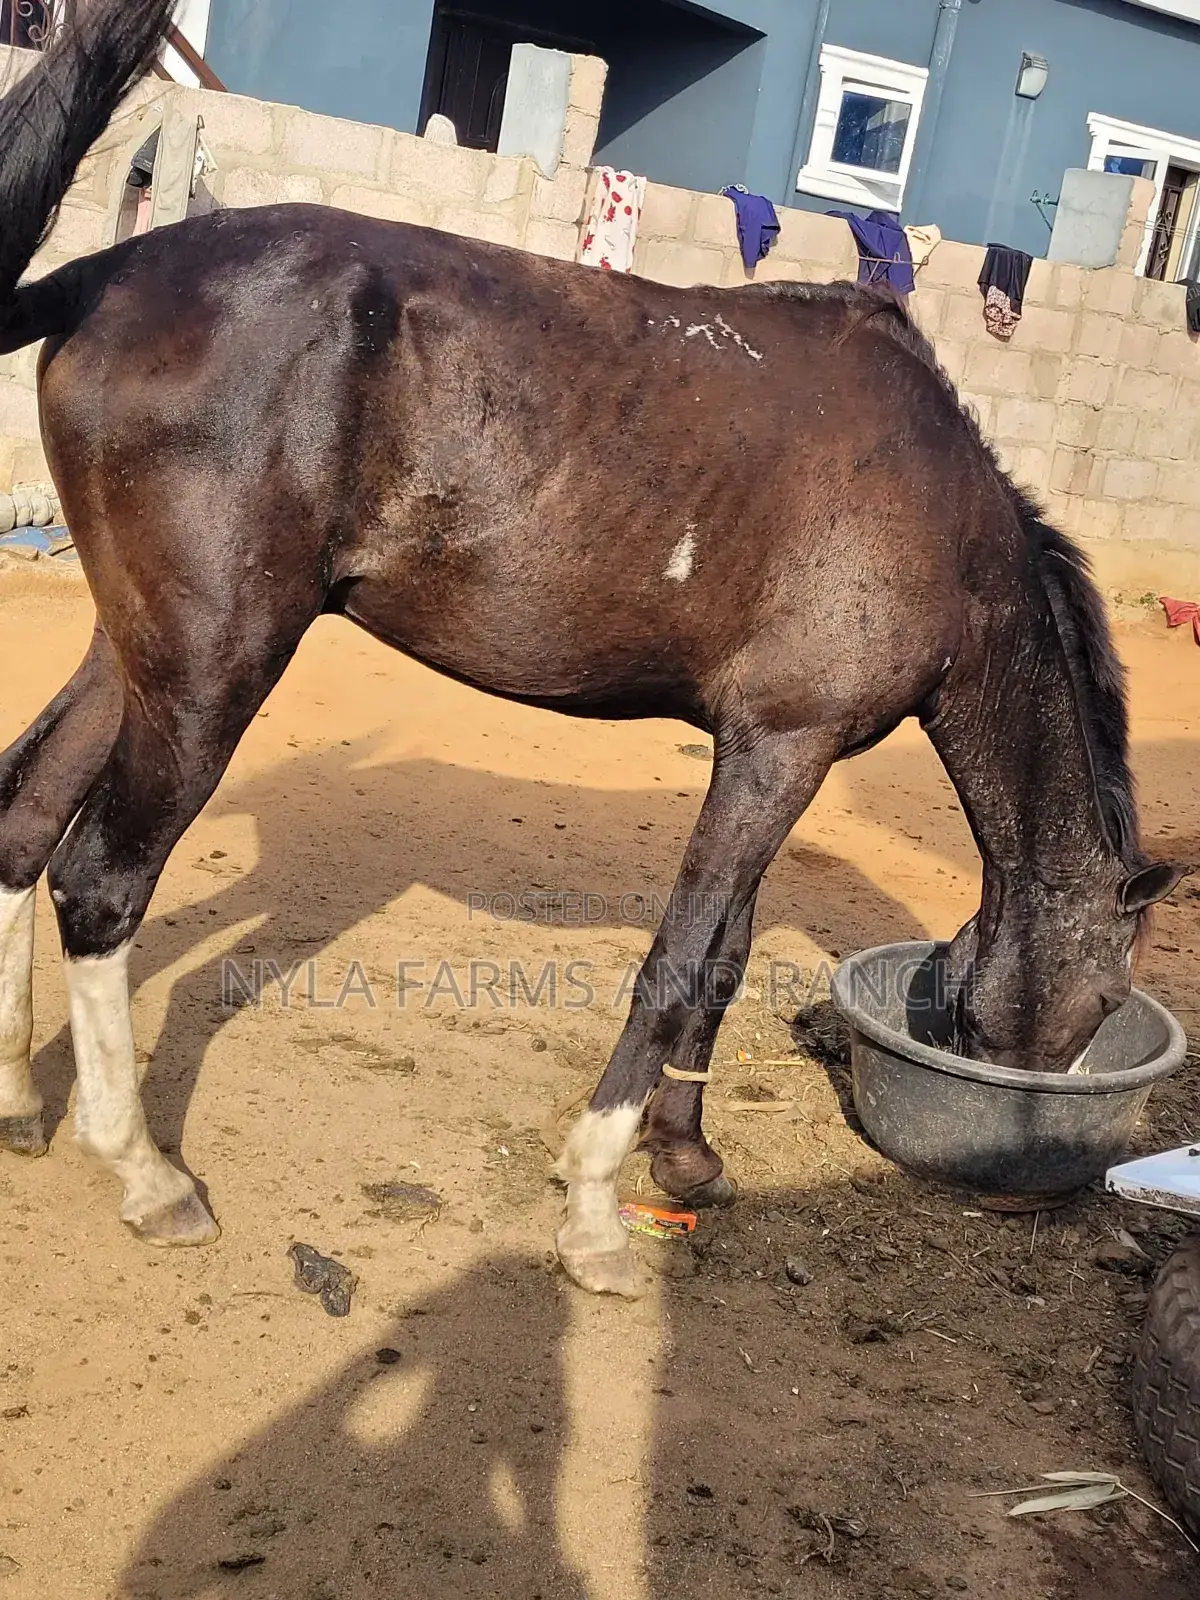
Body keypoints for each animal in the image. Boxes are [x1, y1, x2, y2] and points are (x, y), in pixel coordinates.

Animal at [0, 2, 1184, 1297]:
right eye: (1103, 992)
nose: (1026, 1184)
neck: (943, 519)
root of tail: (108, 274)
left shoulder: (775, 749)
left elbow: (725, 953)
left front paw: (687, 1156)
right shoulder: (782, 746)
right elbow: (676, 960)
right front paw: (593, 1212)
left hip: (136, 648)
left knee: (24, 815)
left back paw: (19, 1098)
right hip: (214, 668)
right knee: (99, 879)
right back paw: (145, 1173)